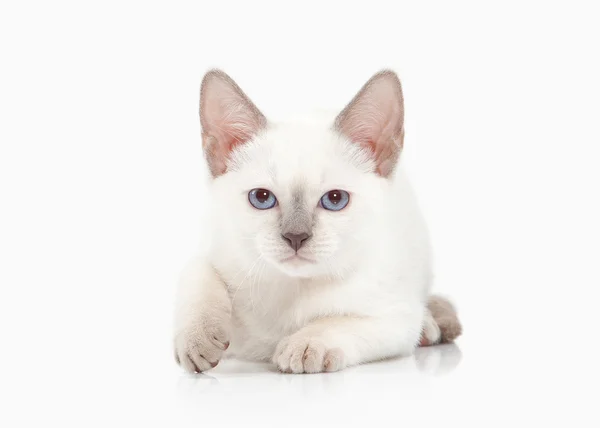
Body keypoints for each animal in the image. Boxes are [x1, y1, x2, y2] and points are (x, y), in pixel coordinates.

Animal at [173, 68, 464, 372]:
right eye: (261, 198)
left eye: (335, 200)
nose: (295, 237)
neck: (292, 288)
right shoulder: (214, 247)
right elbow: (199, 277)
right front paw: (197, 338)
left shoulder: (396, 320)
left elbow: (336, 322)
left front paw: (303, 345)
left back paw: (432, 325)